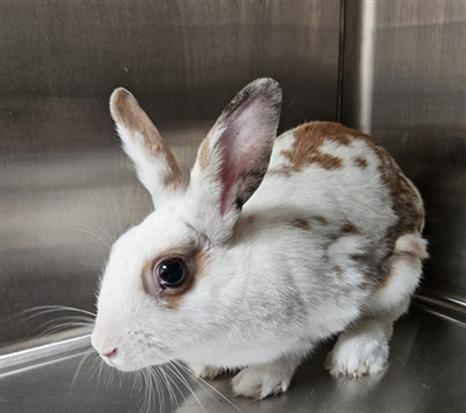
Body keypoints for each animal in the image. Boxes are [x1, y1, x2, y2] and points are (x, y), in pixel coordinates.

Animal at [89, 77, 428, 400]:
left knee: (384, 316)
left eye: (170, 271)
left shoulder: (332, 301)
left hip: (406, 266)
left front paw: (257, 380)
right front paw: (206, 367)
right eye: (117, 249)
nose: (103, 348)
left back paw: (354, 357)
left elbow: (294, 348)